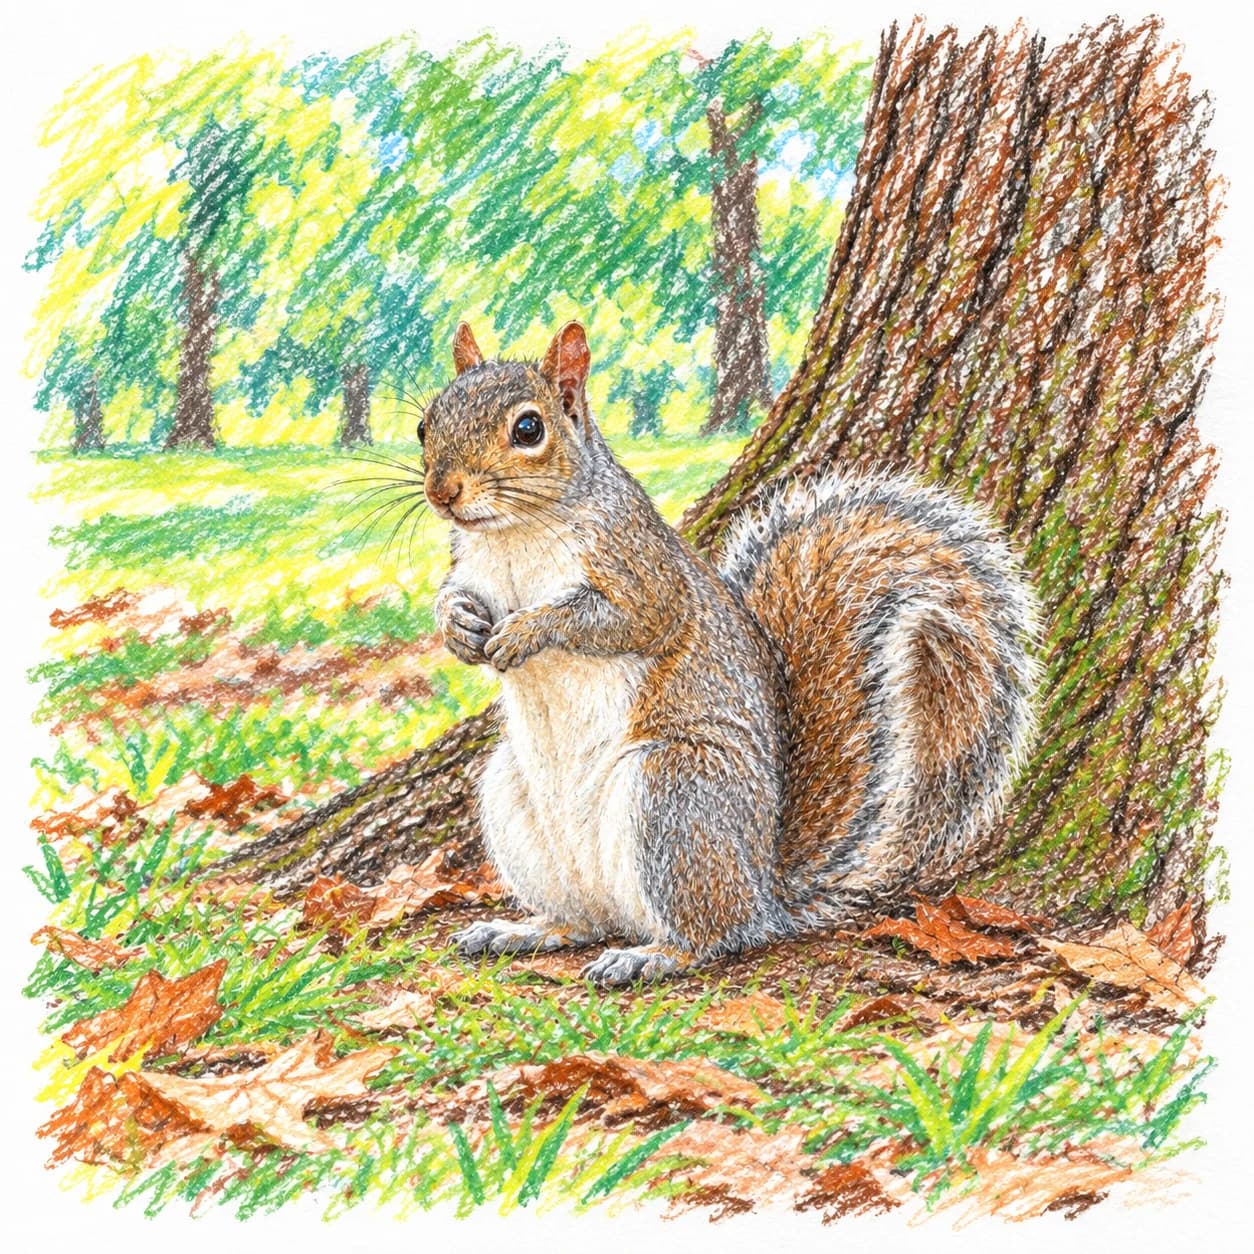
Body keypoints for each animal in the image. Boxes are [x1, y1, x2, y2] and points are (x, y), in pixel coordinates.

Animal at [423, 320, 1038, 985]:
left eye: (528, 429)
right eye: (426, 423)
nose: (442, 491)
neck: (514, 533)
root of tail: (763, 890)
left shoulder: (641, 571)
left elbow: (623, 620)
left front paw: (526, 630)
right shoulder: (473, 568)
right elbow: (453, 598)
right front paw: (458, 628)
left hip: (676, 798)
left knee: (713, 935)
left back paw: (652, 955)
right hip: (516, 806)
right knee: (586, 920)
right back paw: (525, 929)